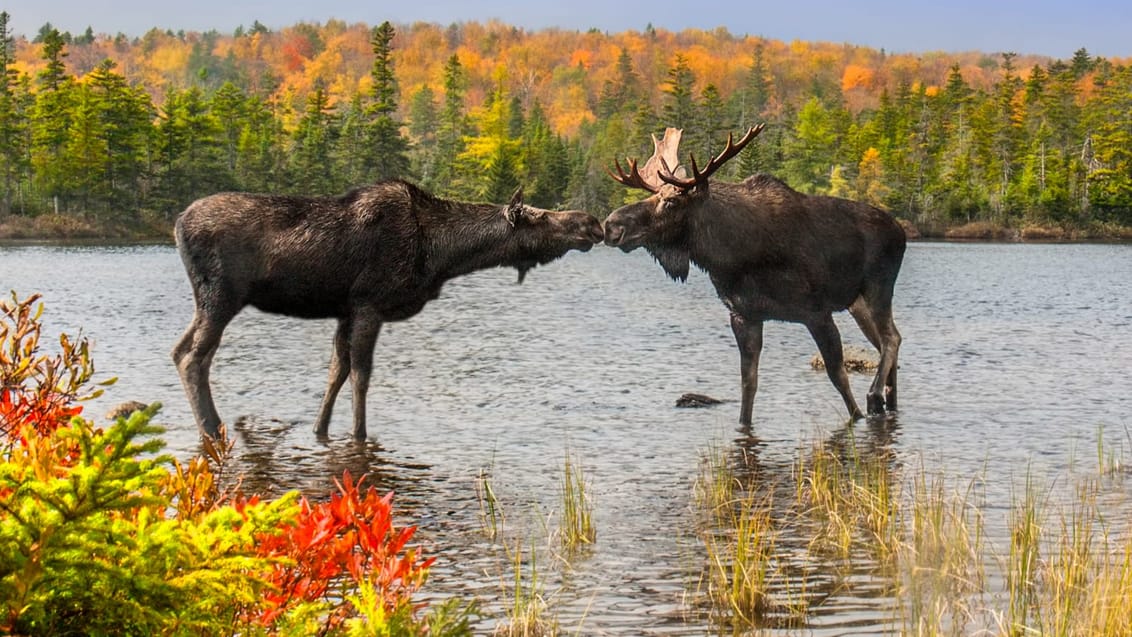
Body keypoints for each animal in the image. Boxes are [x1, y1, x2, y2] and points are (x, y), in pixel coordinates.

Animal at [172, 178, 606, 438]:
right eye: (541, 217)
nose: (593, 223)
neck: (441, 253)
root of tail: (177, 223)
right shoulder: (370, 305)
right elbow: (361, 375)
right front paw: (360, 434)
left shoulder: (346, 310)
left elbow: (336, 372)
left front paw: (319, 430)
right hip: (221, 296)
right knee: (194, 358)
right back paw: (211, 428)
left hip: (206, 300)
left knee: (180, 351)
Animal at [606, 125, 905, 425]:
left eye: (669, 202)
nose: (611, 225)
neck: (732, 255)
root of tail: (901, 231)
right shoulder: (744, 315)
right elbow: (748, 384)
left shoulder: (817, 312)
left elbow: (839, 377)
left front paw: (858, 414)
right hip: (856, 304)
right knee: (887, 341)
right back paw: (889, 400)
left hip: (879, 287)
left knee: (891, 338)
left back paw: (875, 396)